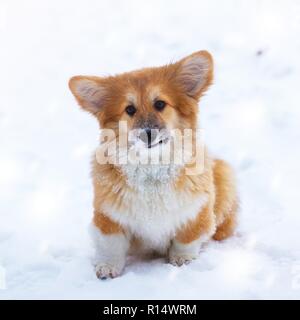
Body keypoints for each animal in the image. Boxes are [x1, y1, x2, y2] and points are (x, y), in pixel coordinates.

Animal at [69, 51, 238, 278]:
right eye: (129, 109)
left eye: (159, 104)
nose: (148, 134)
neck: (152, 167)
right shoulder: (108, 216)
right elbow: (110, 245)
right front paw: (107, 267)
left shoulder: (196, 212)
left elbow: (187, 239)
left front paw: (181, 259)